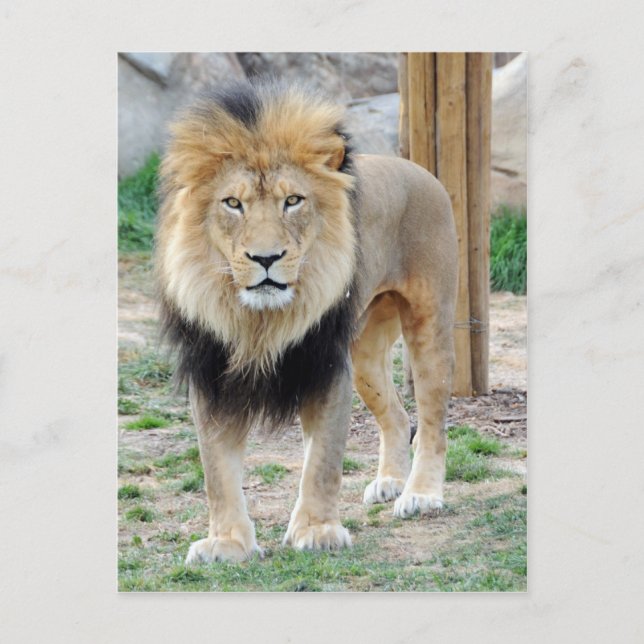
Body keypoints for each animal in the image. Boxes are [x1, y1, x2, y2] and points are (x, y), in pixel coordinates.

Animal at [155, 81, 458, 564]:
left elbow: (322, 462)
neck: (259, 322)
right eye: (233, 203)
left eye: (292, 201)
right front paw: (228, 542)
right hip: (366, 354)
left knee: (431, 420)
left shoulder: (325, 366)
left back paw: (421, 495)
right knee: (396, 413)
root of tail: (418, 169)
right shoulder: (212, 371)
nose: (265, 258)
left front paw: (317, 530)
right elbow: (216, 471)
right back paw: (390, 482)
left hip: (429, 322)